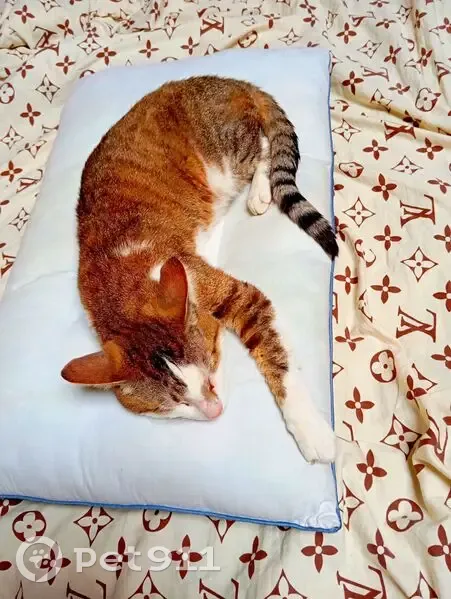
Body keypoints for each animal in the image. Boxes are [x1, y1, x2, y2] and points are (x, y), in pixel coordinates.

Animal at [61, 76, 338, 463]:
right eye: (173, 405)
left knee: (263, 145)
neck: (121, 285)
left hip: (226, 153)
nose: (215, 410)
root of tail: (228, 80)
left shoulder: (236, 293)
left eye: (210, 366)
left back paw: (259, 191)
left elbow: (278, 362)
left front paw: (311, 431)